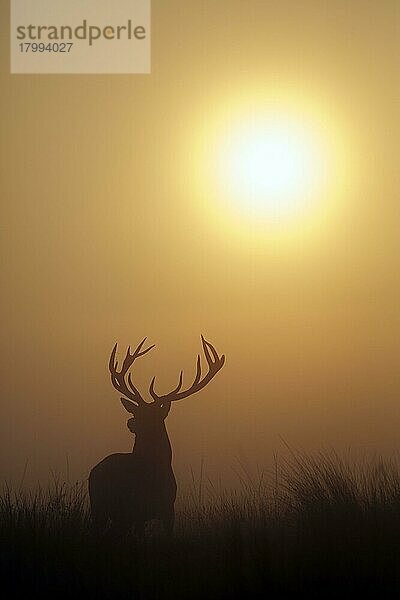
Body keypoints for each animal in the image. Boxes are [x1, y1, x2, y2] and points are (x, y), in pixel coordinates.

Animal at [88, 336, 225, 536]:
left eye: (152, 415)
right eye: (137, 412)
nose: (130, 422)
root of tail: (94, 471)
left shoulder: (167, 509)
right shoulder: (141, 510)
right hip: (105, 507)